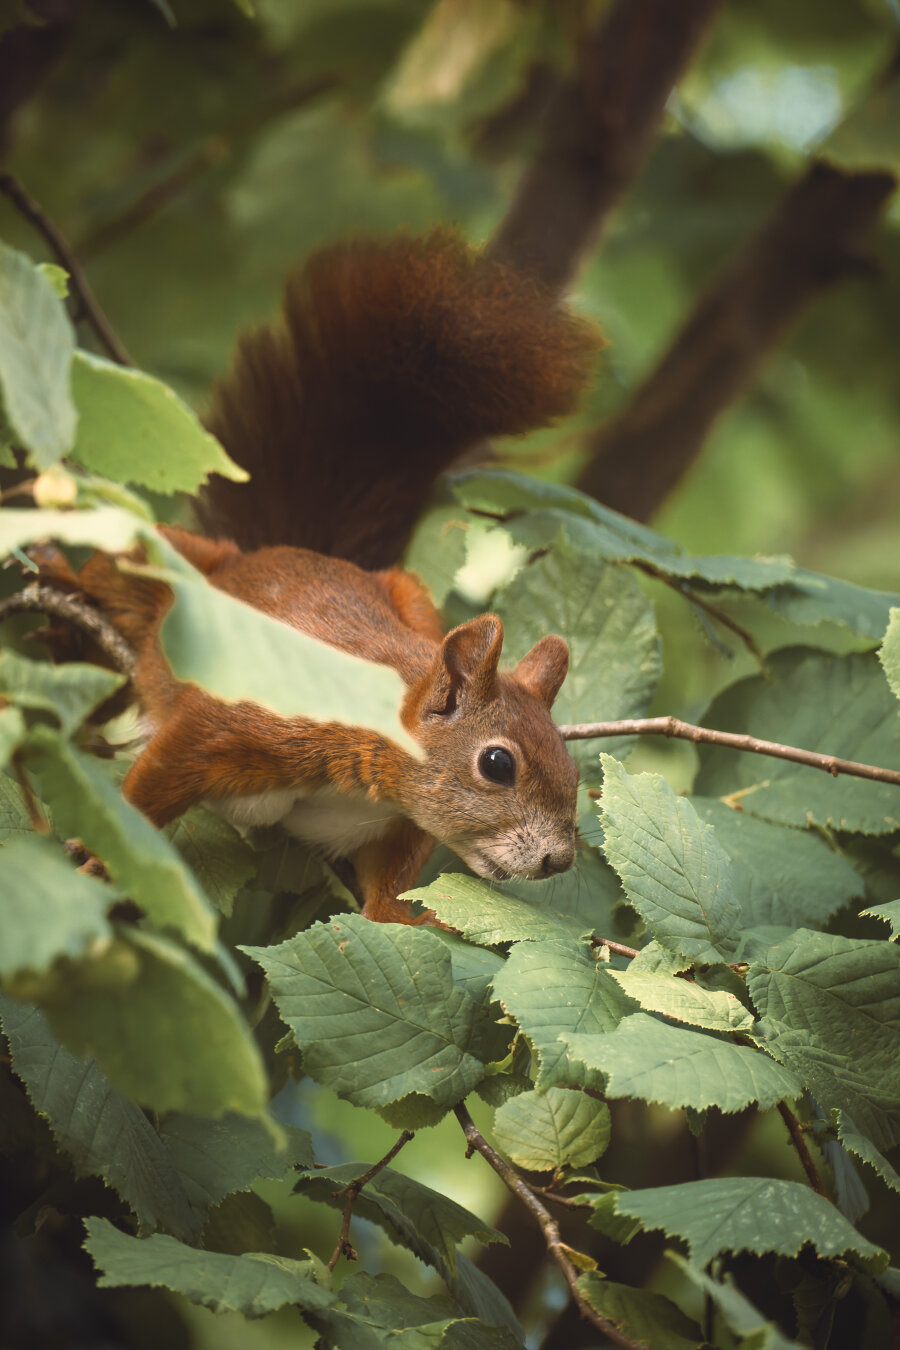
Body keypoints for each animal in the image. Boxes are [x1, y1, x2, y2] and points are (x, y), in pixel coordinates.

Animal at [46, 230, 601, 924]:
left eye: (571, 767)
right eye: (497, 764)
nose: (559, 860)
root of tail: (274, 552)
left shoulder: (394, 819)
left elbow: (391, 881)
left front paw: (401, 915)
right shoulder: (230, 723)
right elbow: (153, 788)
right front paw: (105, 857)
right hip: (160, 567)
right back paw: (64, 594)